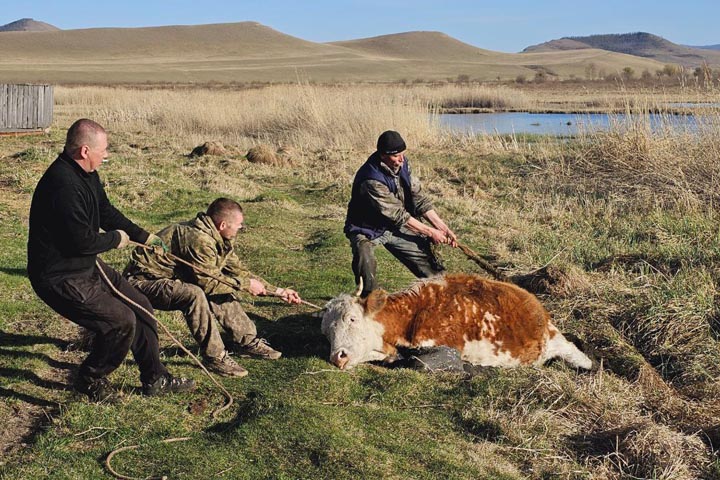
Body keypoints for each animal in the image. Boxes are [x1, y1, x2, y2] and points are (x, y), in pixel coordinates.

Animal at [320, 274, 592, 372]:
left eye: (352, 318)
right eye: (326, 333)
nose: (338, 357)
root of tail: (539, 309)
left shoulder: (447, 346)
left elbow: (420, 362)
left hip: (562, 346)